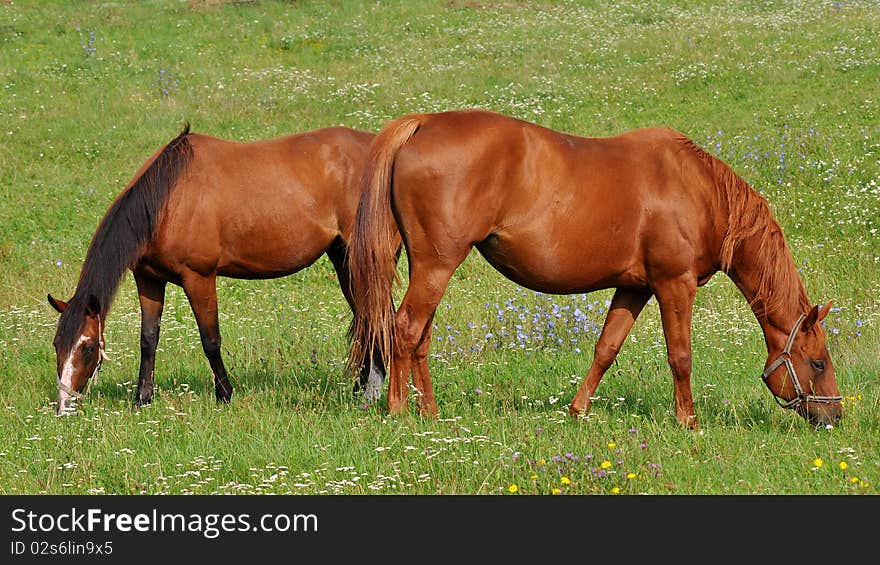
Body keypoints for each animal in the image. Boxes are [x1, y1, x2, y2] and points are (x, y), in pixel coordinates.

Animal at [49, 124, 388, 414]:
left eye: (87, 348)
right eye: (56, 344)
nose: (65, 406)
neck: (167, 199)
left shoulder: (199, 278)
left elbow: (210, 340)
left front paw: (224, 394)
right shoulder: (148, 280)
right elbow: (148, 339)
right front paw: (142, 399)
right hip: (343, 259)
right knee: (365, 318)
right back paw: (359, 387)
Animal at [348, 109, 844, 428]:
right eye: (818, 361)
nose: (834, 415)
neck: (699, 191)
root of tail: (424, 123)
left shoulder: (635, 288)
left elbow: (606, 349)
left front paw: (578, 411)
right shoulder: (674, 285)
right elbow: (680, 356)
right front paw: (688, 421)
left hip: (430, 267)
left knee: (419, 337)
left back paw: (430, 412)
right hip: (437, 265)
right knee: (404, 329)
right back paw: (397, 411)